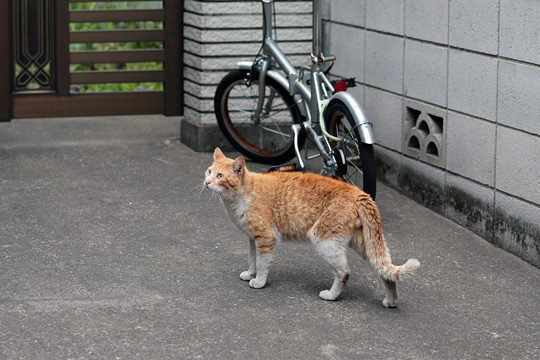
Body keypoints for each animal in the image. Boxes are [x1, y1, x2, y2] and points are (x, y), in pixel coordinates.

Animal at [205, 148, 420, 308]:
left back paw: (331, 295)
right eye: (208, 171)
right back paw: (391, 302)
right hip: (362, 244)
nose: (206, 182)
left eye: (220, 175)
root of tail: (358, 193)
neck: (240, 195)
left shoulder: (265, 238)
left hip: (324, 240)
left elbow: (263, 263)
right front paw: (251, 274)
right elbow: (252, 259)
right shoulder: (252, 238)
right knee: (385, 272)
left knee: (344, 272)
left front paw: (258, 281)